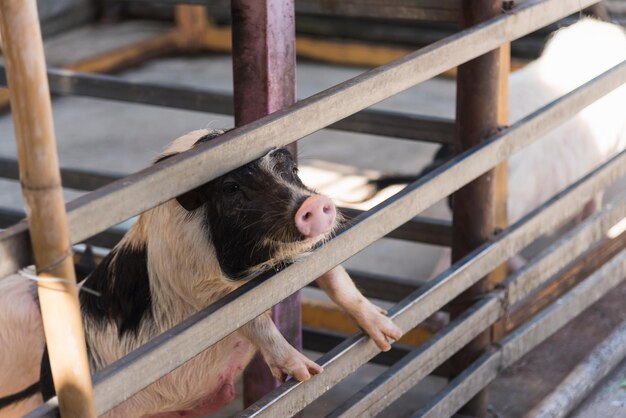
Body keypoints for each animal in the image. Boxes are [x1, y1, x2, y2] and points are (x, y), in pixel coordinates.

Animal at [0, 129, 400, 418]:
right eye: (231, 189)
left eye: (291, 171)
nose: (314, 203)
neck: (251, 265)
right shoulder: (198, 284)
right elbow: (254, 322)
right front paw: (307, 374)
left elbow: (336, 279)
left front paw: (387, 334)